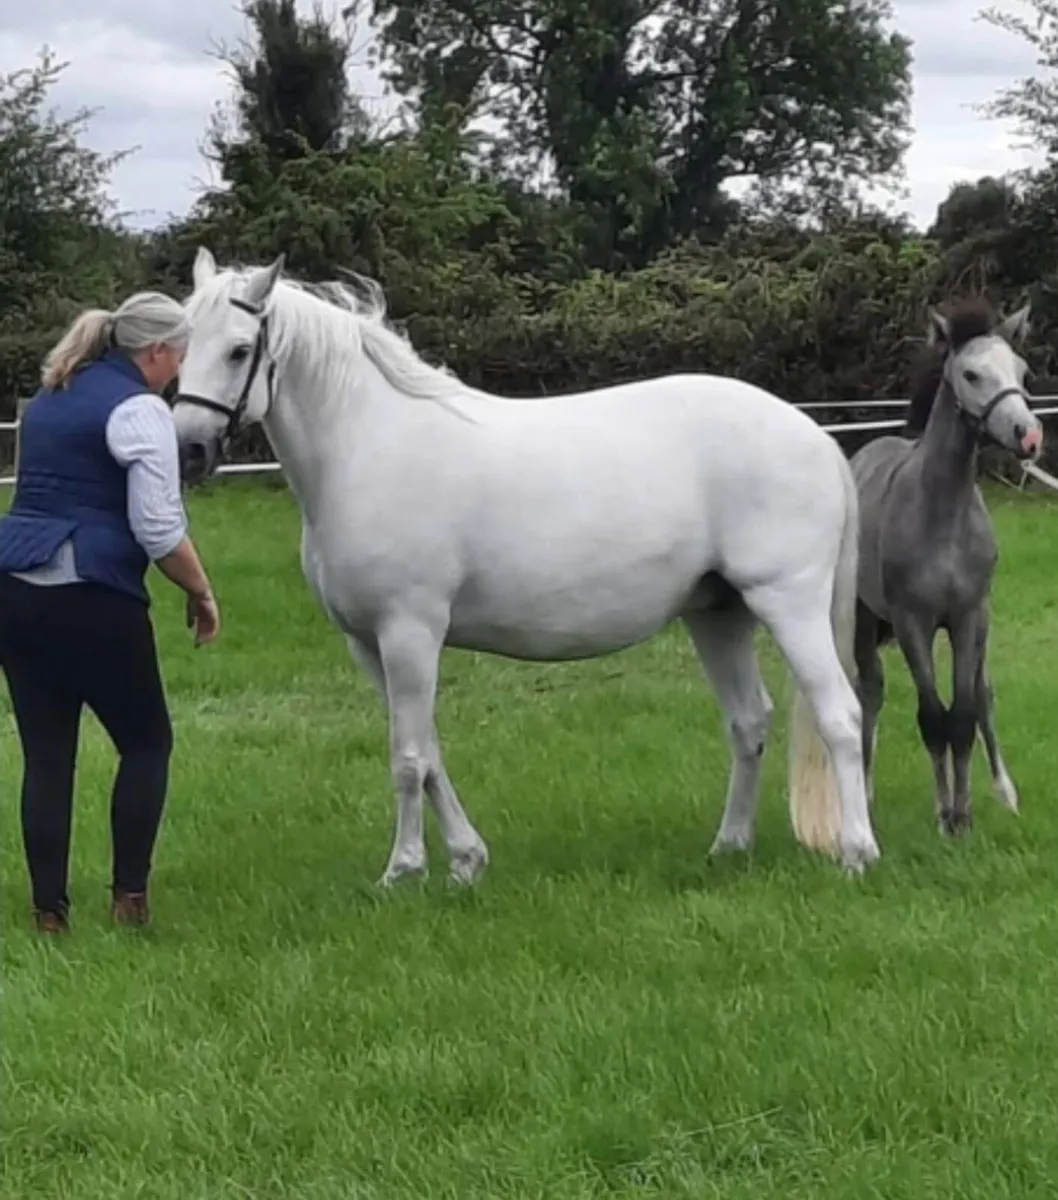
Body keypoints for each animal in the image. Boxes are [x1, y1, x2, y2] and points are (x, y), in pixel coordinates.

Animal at [171, 247, 881, 884]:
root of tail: (815, 437)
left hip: (786, 602)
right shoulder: (367, 644)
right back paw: (729, 846)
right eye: (182, 344)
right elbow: (430, 751)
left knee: (841, 717)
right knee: (748, 722)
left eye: (239, 350)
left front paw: (404, 870)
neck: (367, 446)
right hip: (717, 614)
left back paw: (856, 853)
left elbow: (408, 757)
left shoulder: (409, 632)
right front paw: (465, 861)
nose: (187, 451)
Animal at [849, 298, 1043, 836]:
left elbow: (965, 714)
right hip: (864, 619)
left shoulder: (968, 617)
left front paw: (964, 813)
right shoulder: (912, 623)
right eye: (972, 374)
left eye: (1021, 371)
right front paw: (946, 815)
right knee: (871, 691)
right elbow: (933, 716)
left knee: (983, 694)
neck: (942, 517)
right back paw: (865, 790)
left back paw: (1006, 792)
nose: (1029, 436)